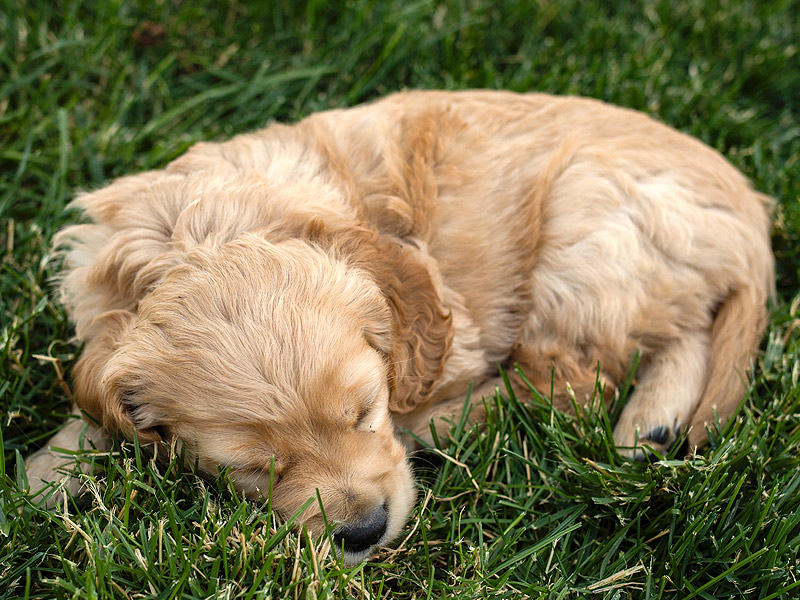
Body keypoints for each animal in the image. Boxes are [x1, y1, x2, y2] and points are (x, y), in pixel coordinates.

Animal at [28, 89, 772, 564]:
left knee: (576, 378)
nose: (364, 531)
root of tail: (750, 216)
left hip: (582, 225)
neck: (198, 228)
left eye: (366, 411)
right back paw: (653, 423)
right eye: (253, 467)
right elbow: (89, 398)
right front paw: (42, 476)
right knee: (681, 333)